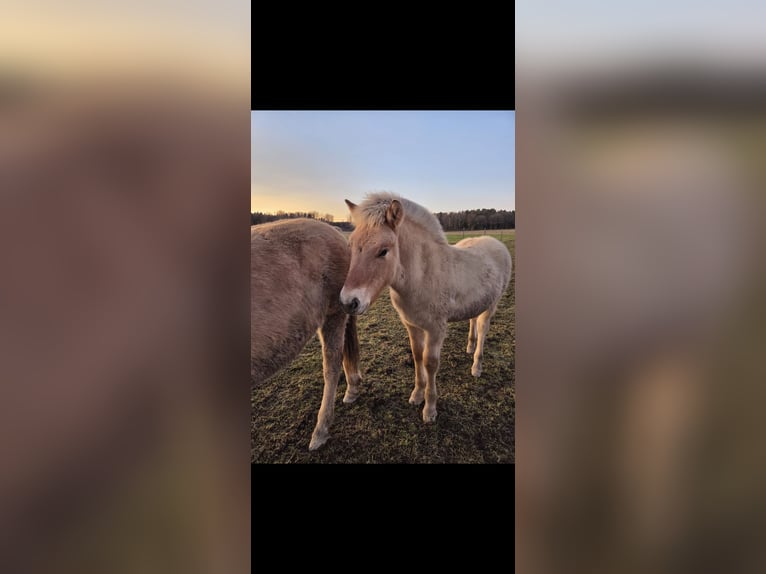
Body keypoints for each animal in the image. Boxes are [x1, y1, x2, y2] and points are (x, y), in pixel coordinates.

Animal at [340, 192, 512, 423]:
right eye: (350, 246)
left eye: (383, 251)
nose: (348, 302)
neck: (422, 276)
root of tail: (496, 242)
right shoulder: (412, 325)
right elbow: (417, 356)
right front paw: (416, 395)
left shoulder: (436, 329)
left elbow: (430, 363)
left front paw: (429, 409)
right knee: (473, 321)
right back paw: (469, 347)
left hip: (491, 306)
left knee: (483, 329)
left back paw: (476, 366)